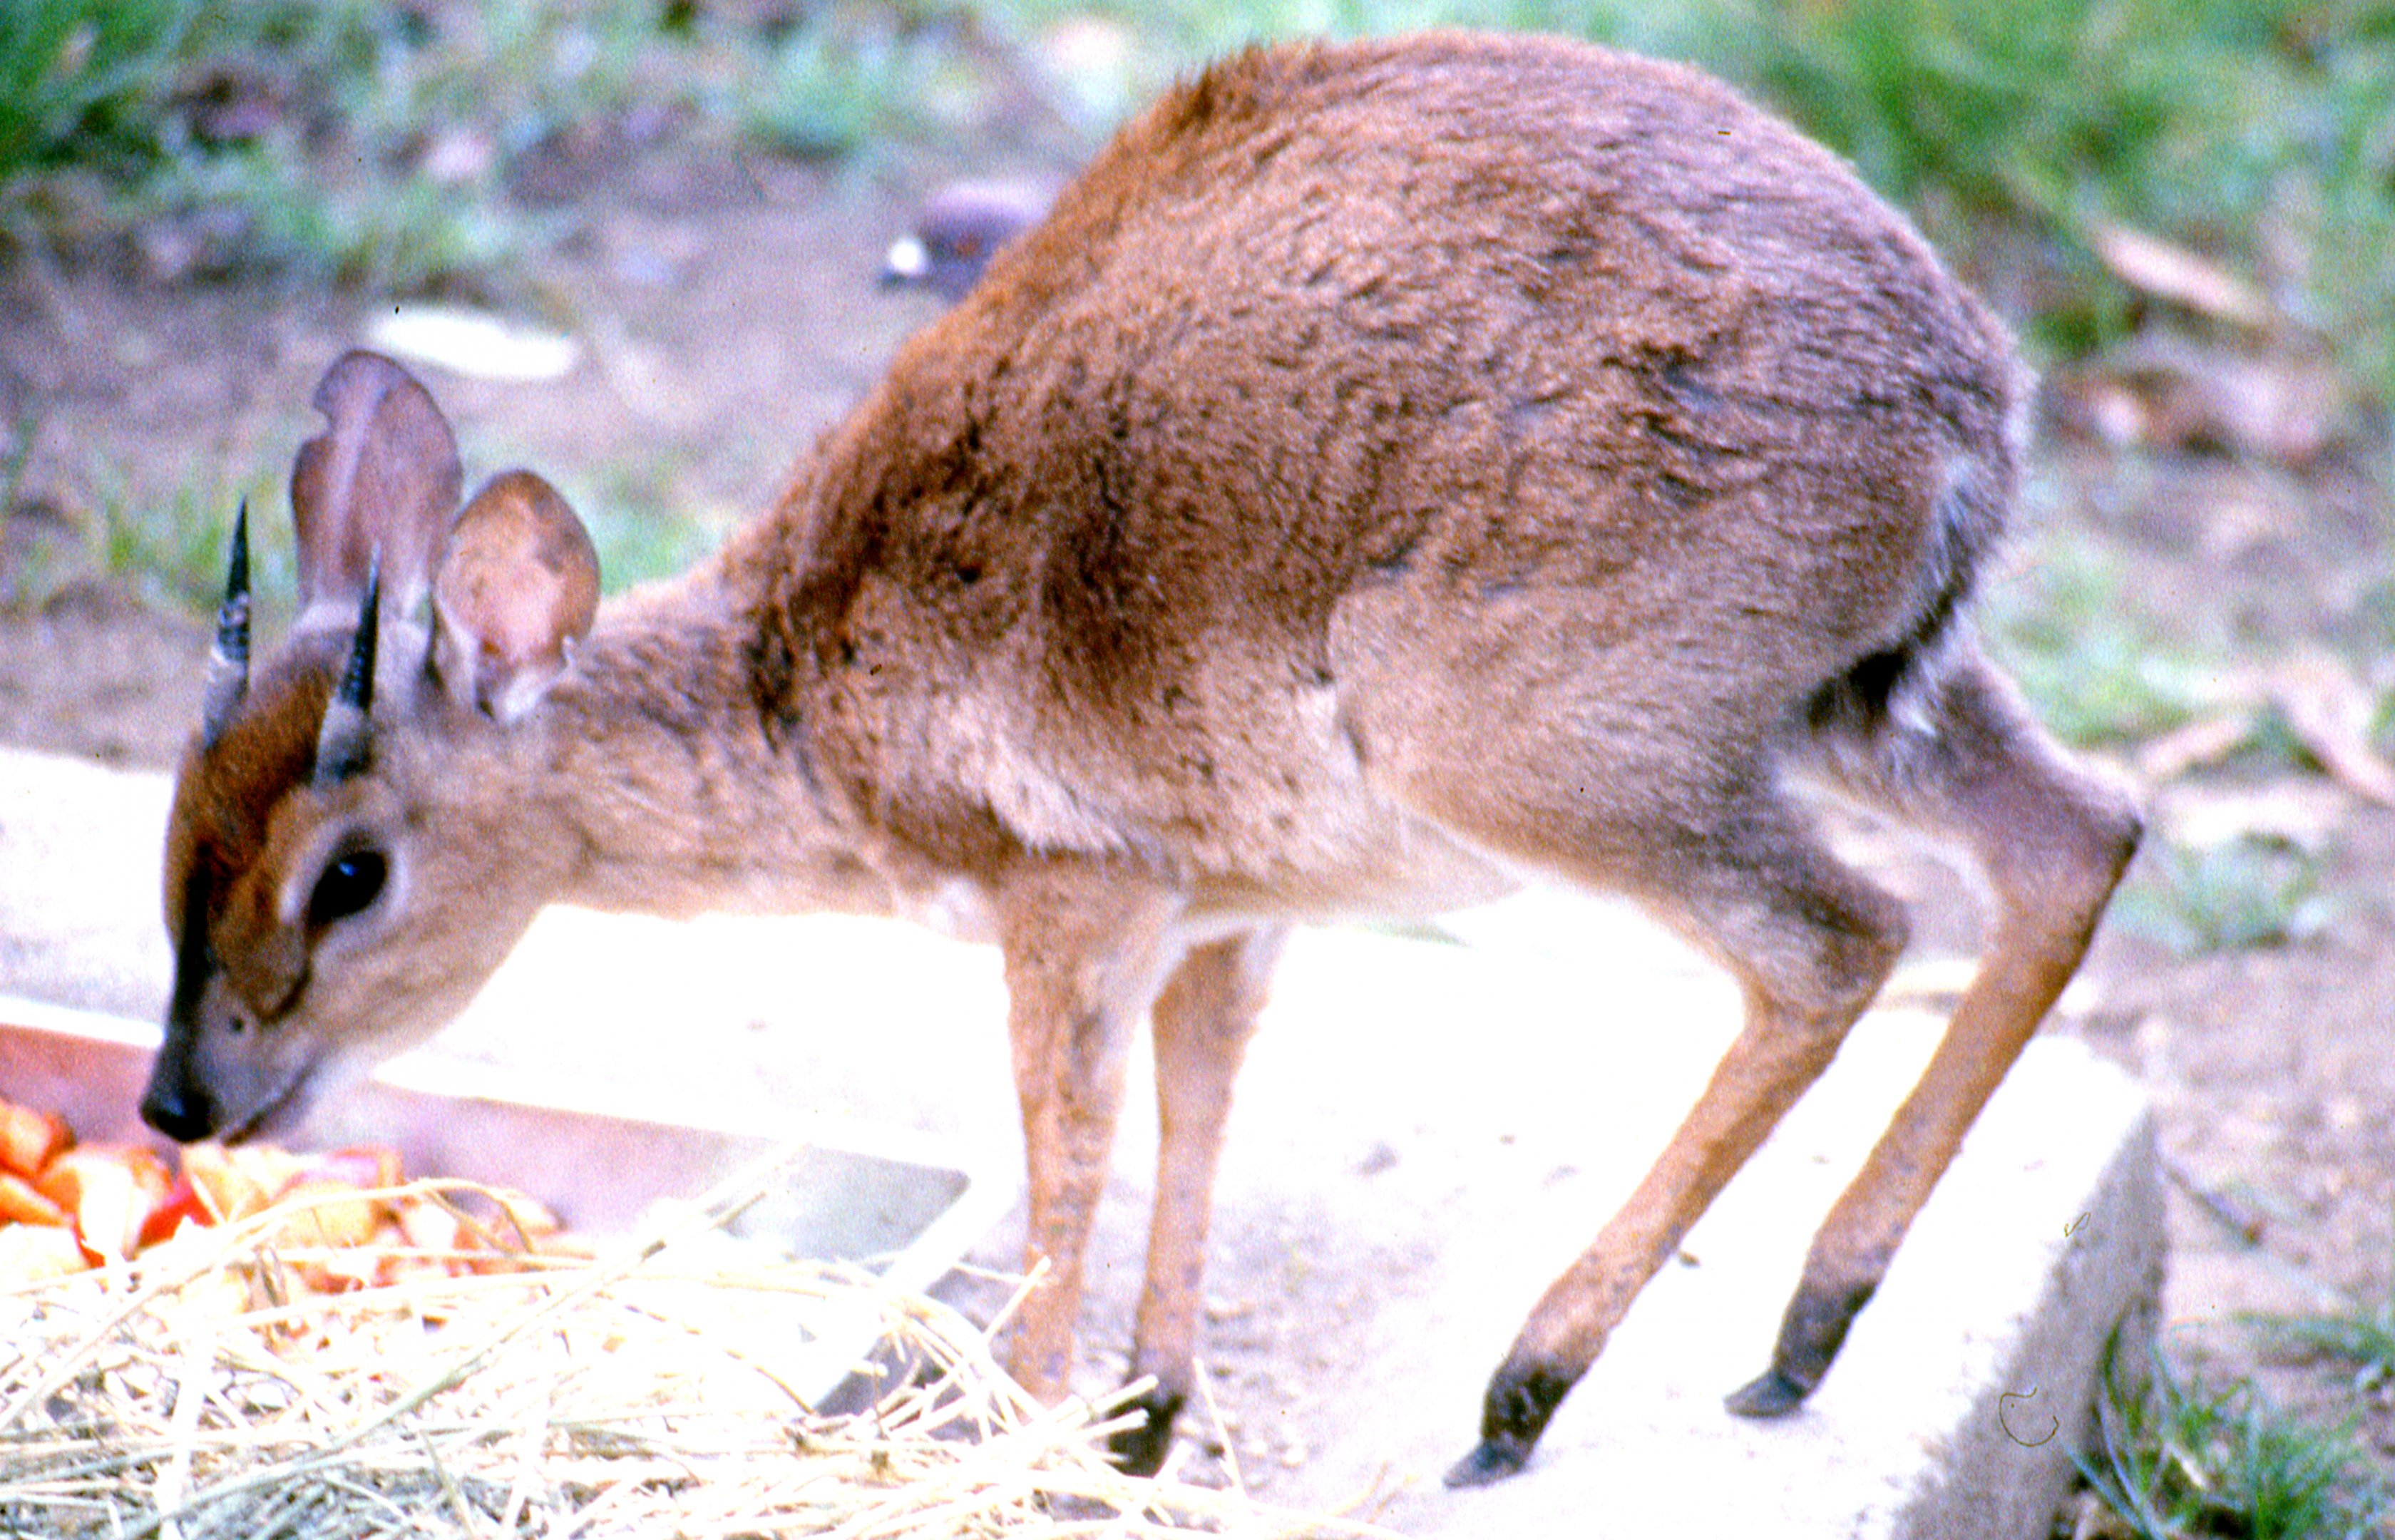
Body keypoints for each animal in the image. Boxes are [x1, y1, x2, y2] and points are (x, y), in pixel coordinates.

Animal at [140, 30, 2141, 1485]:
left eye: (348, 870)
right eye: (180, 833)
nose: (179, 1099)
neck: (805, 685)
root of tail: (1966, 411)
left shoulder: (1069, 896)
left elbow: (1065, 1148)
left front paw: (1023, 1427)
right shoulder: (1226, 911)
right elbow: (1202, 1102)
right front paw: (1140, 1410)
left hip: (1559, 755)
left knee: (1838, 943)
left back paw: (1529, 1386)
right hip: (1869, 699)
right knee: (2079, 834)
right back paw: (1801, 1332)